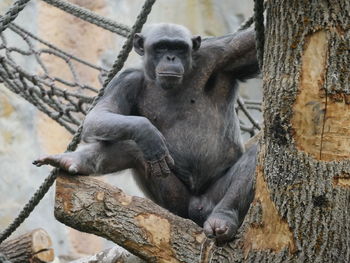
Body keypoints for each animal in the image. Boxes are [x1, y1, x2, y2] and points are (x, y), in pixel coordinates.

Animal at [34, 23, 260, 243]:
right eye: (161, 47)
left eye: (179, 48)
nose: (171, 58)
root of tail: (197, 208)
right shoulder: (127, 80)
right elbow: (98, 115)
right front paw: (147, 132)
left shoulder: (222, 53)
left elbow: (250, 44)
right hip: (175, 204)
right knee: (134, 148)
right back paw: (74, 160)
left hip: (212, 199)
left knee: (257, 153)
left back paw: (223, 218)